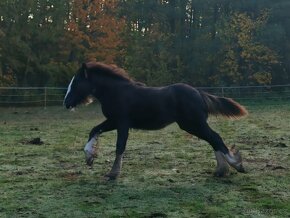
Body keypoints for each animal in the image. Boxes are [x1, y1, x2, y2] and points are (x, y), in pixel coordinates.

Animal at [63, 61, 247, 179]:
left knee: (215, 138)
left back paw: (236, 165)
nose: (66, 103)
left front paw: (112, 174)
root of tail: (199, 93)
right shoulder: (112, 121)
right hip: (193, 125)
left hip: (193, 124)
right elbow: (94, 130)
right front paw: (90, 157)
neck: (116, 92)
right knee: (213, 140)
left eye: (76, 82)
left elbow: (119, 146)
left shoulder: (122, 123)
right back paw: (221, 171)